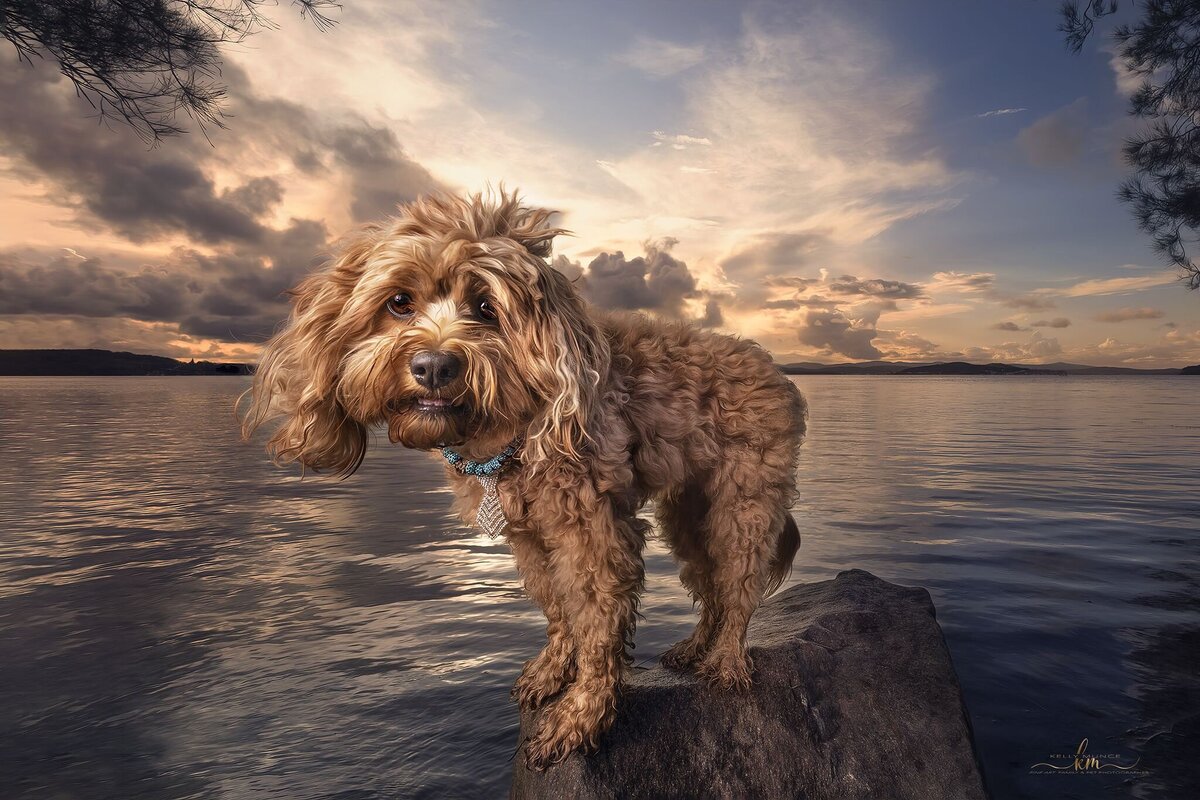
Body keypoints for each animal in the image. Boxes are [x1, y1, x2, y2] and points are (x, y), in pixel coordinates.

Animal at [240, 189, 806, 767]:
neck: (512, 432)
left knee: (738, 588)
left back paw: (727, 663)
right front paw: (552, 671)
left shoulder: (592, 534)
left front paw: (580, 716)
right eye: (398, 302)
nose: (434, 366)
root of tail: (776, 370)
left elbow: (596, 619)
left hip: (743, 505)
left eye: (487, 308)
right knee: (710, 586)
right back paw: (694, 647)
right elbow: (557, 607)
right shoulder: (530, 535)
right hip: (688, 511)